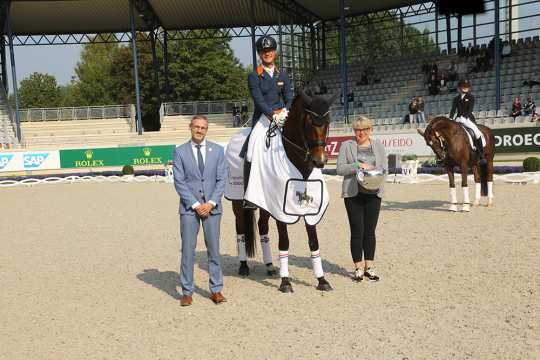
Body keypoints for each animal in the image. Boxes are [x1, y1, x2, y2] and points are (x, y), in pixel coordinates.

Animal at [232, 89, 338, 292]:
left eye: (327, 123)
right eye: (309, 124)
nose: (320, 161)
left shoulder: (309, 209)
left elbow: (314, 241)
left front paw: (321, 280)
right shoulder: (281, 210)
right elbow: (284, 242)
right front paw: (286, 282)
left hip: (264, 203)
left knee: (263, 227)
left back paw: (269, 266)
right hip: (237, 202)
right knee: (240, 229)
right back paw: (243, 266)